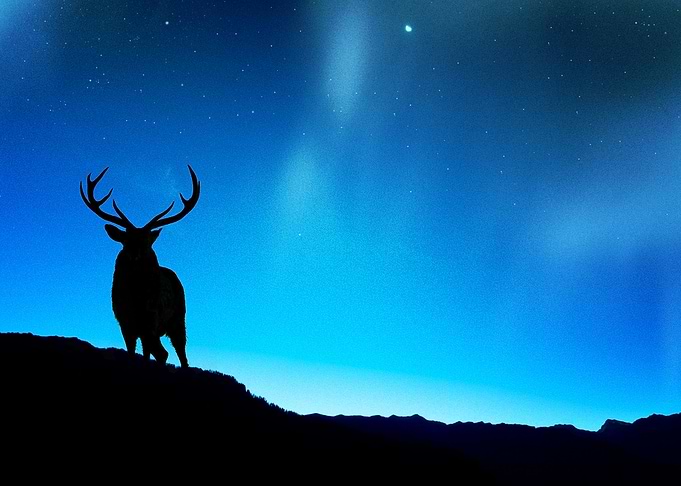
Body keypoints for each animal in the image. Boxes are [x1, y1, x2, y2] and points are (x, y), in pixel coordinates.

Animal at [80, 165, 200, 368]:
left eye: (146, 242)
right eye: (126, 241)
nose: (135, 255)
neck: (135, 298)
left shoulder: (150, 318)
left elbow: (158, 354)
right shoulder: (124, 321)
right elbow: (132, 352)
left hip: (178, 318)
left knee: (179, 352)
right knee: (154, 351)